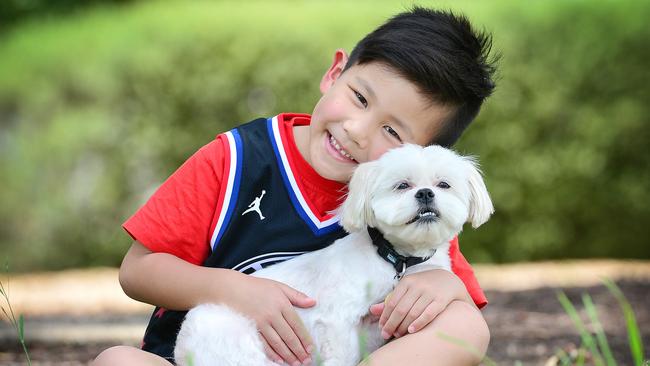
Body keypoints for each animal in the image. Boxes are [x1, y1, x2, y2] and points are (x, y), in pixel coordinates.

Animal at [172, 143, 492, 366]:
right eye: (402, 185)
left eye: (444, 184)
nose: (425, 193)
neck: (397, 261)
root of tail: (183, 341)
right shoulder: (339, 322)